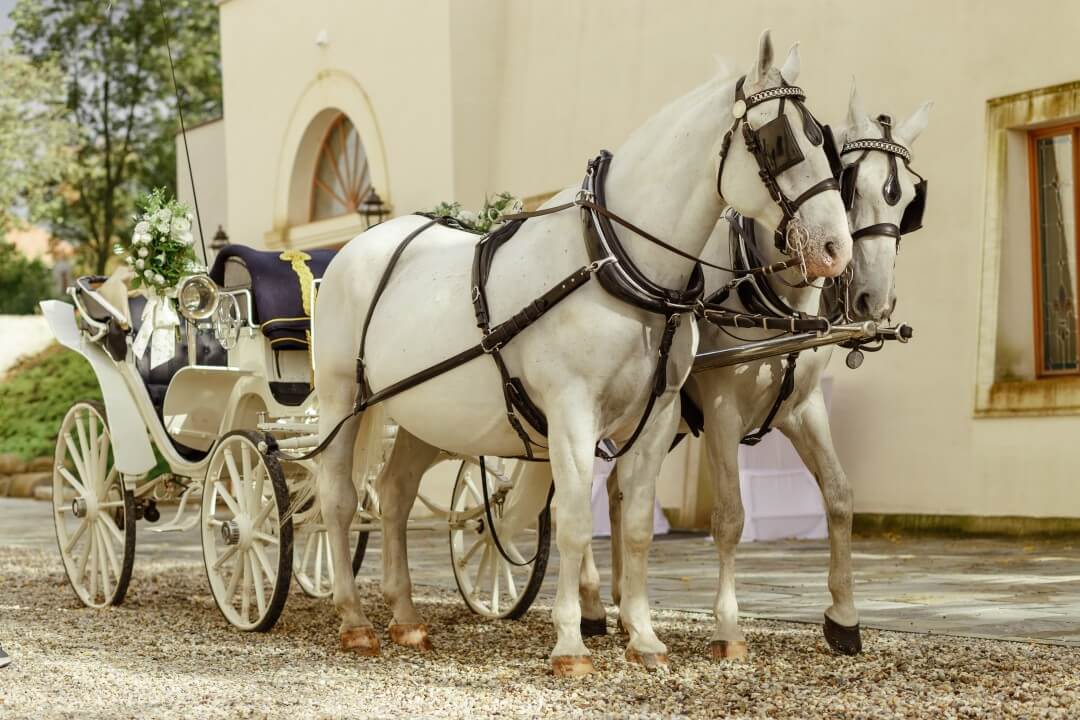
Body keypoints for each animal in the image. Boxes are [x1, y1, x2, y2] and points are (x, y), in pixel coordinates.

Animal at [313, 32, 851, 677]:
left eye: (826, 140)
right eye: (780, 141)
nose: (836, 249)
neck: (614, 260)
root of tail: (357, 245)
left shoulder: (659, 413)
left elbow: (636, 524)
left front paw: (643, 637)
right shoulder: (572, 413)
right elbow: (572, 523)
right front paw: (571, 642)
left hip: (422, 414)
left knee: (393, 498)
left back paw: (406, 618)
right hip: (342, 398)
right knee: (339, 501)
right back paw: (353, 620)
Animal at [604, 83, 933, 660]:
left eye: (909, 199)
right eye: (850, 184)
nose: (874, 299)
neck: (774, 300)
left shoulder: (804, 409)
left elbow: (840, 497)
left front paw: (844, 617)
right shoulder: (720, 413)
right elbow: (730, 517)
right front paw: (728, 628)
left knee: (616, 494)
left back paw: (621, 609)